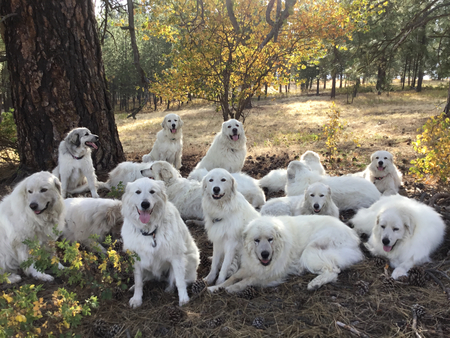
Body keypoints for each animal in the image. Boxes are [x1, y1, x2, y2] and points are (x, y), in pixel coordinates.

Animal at [121, 178, 199, 308]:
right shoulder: (137, 259)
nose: (145, 204)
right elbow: (138, 281)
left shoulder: (176, 257)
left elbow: (180, 282)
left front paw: (184, 299)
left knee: (175, 280)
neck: (150, 231)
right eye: (138, 192)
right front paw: (137, 299)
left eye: (152, 191)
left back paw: (169, 289)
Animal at [207, 215, 362, 292]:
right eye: (256, 240)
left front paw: (232, 288)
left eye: (270, 239)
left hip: (310, 250)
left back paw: (314, 284)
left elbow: (246, 281)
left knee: (333, 270)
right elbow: (233, 277)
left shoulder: (269, 274)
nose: (264, 254)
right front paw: (216, 287)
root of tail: (353, 235)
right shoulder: (249, 267)